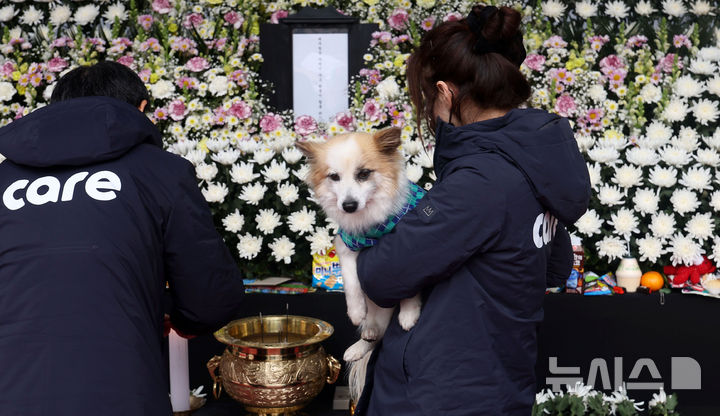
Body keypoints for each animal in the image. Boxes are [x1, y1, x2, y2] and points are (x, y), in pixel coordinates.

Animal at [296, 128, 422, 402]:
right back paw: (362, 342)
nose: (349, 205)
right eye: (334, 177)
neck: (372, 229)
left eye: (364, 174)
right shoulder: (346, 246)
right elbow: (351, 280)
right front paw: (355, 311)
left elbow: (410, 278)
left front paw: (409, 313)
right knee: (376, 332)